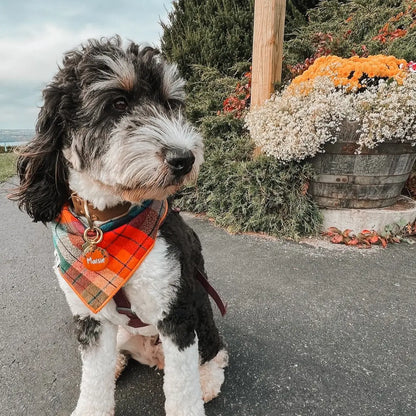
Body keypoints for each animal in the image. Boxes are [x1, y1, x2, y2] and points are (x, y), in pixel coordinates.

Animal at [13, 35, 228, 416]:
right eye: (118, 103)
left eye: (171, 105)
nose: (184, 159)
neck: (107, 220)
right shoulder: (91, 317)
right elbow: (93, 382)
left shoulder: (177, 311)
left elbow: (182, 390)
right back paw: (117, 362)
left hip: (202, 311)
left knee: (215, 353)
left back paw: (207, 379)